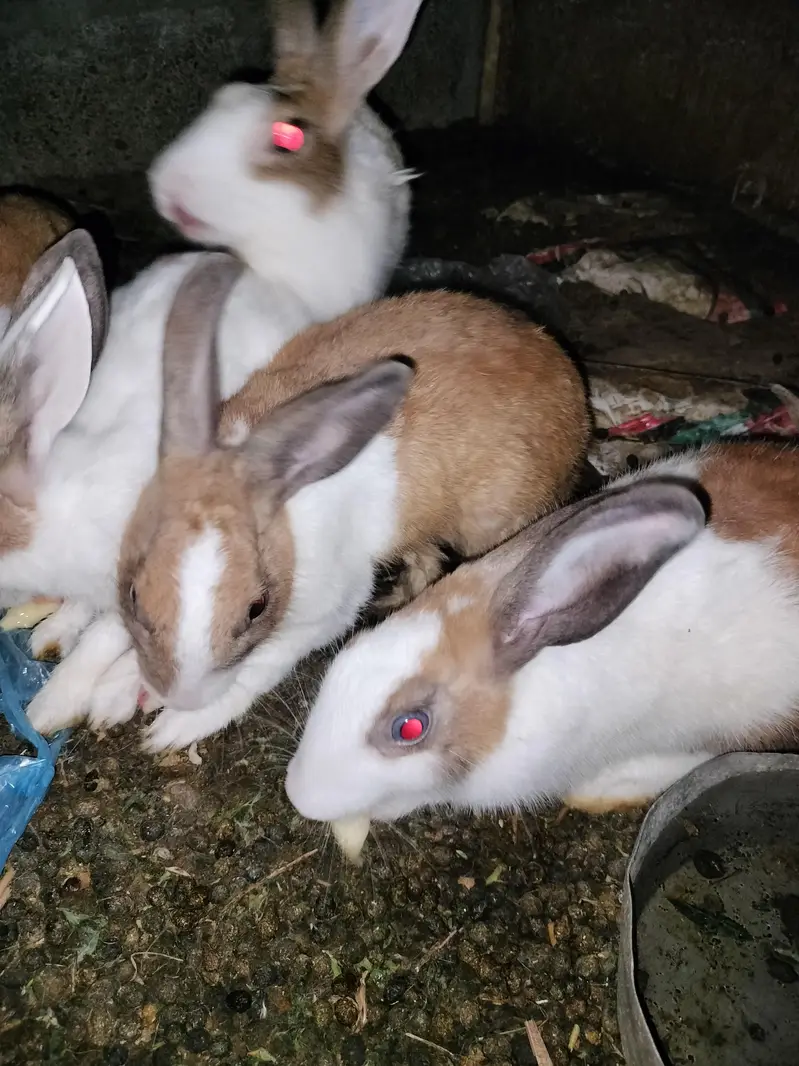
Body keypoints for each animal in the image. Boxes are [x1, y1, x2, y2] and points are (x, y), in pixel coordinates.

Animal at [40, 255, 594, 755]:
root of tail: (570, 382)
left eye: (256, 608)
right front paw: (72, 699)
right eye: (136, 593)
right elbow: (105, 633)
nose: (179, 694)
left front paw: (174, 725)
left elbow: (257, 667)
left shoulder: (323, 613)